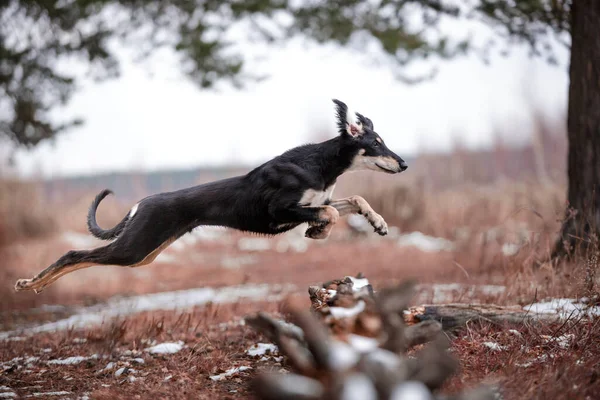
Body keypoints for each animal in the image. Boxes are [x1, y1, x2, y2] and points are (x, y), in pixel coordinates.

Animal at [15, 99, 408, 294]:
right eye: (375, 144)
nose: (404, 163)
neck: (320, 163)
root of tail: (141, 203)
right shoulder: (280, 210)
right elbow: (333, 214)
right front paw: (318, 232)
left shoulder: (315, 202)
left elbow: (354, 201)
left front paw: (378, 223)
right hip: (135, 248)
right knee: (74, 254)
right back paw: (31, 283)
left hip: (144, 254)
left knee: (84, 258)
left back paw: (34, 284)